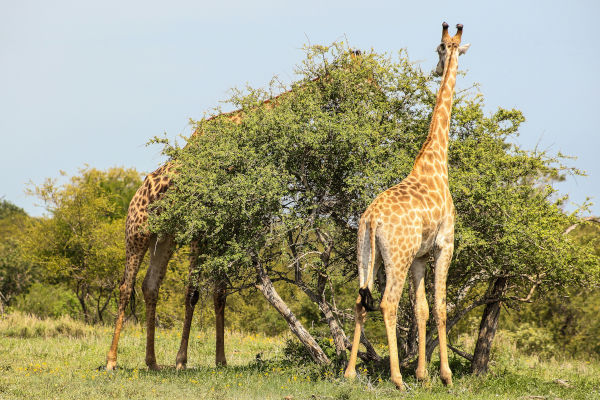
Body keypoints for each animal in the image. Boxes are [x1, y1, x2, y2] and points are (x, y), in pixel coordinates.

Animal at [344, 22, 472, 390]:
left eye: (441, 48)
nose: (436, 69)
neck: (435, 164)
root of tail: (371, 219)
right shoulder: (445, 245)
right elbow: (440, 307)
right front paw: (444, 376)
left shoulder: (419, 255)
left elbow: (421, 309)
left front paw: (423, 374)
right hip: (395, 257)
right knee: (387, 304)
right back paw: (397, 378)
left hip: (365, 254)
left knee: (360, 301)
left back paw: (349, 373)